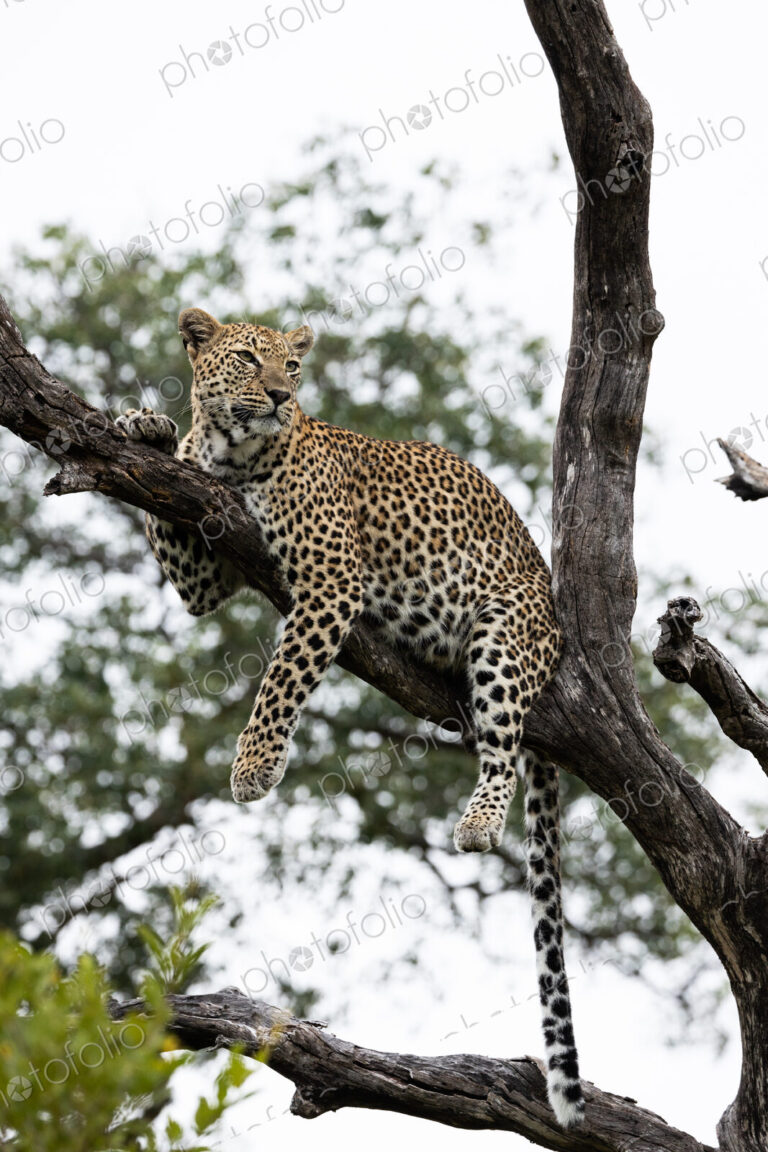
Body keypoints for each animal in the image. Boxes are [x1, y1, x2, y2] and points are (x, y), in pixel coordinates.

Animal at [116, 307, 585, 1129]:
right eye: (247, 359)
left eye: (293, 368)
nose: (278, 396)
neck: (233, 455)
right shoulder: (206, 569)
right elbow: (173, 526)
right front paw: (147, 425)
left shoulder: (330, 582)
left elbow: (281, 678)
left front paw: (253, 767)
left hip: (505, 632)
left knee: (504, 743)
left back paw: (479, 821)